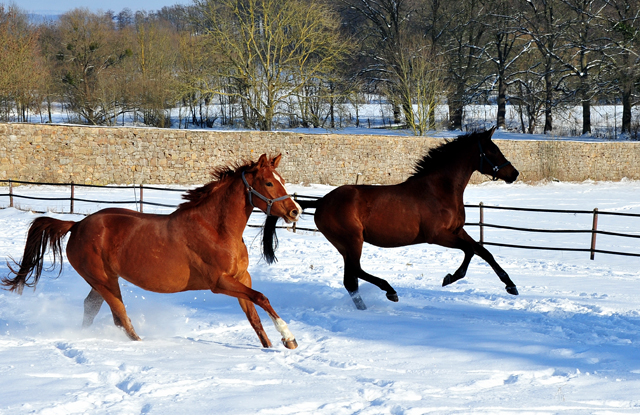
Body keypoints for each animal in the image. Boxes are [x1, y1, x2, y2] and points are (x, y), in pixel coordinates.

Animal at [3, 154, 302, 350]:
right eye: (268, 183)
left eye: (282, 179)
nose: (295, 211)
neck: (216, 229)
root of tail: (76, 225)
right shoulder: (219, 283)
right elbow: (262, 298)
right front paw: (288, 338)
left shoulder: (241, 278)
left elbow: (254, 316)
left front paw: (274, 345)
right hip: (104, 280)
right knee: (119, 315)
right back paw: (140, 343)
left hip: (102, 280)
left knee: (92, 307)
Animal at [264, 128, 520, 310]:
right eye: (492, 151)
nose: (514, 173)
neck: (439, 190)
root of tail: (322, 202)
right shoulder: (438, 235)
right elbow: (472, 251)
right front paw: (452, 278)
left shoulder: (457, 231)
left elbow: (481, 251)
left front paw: (509, 285)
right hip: (352, 240)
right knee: (355, 272)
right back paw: (390, 291)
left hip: (345, 245)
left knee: (351, 279)